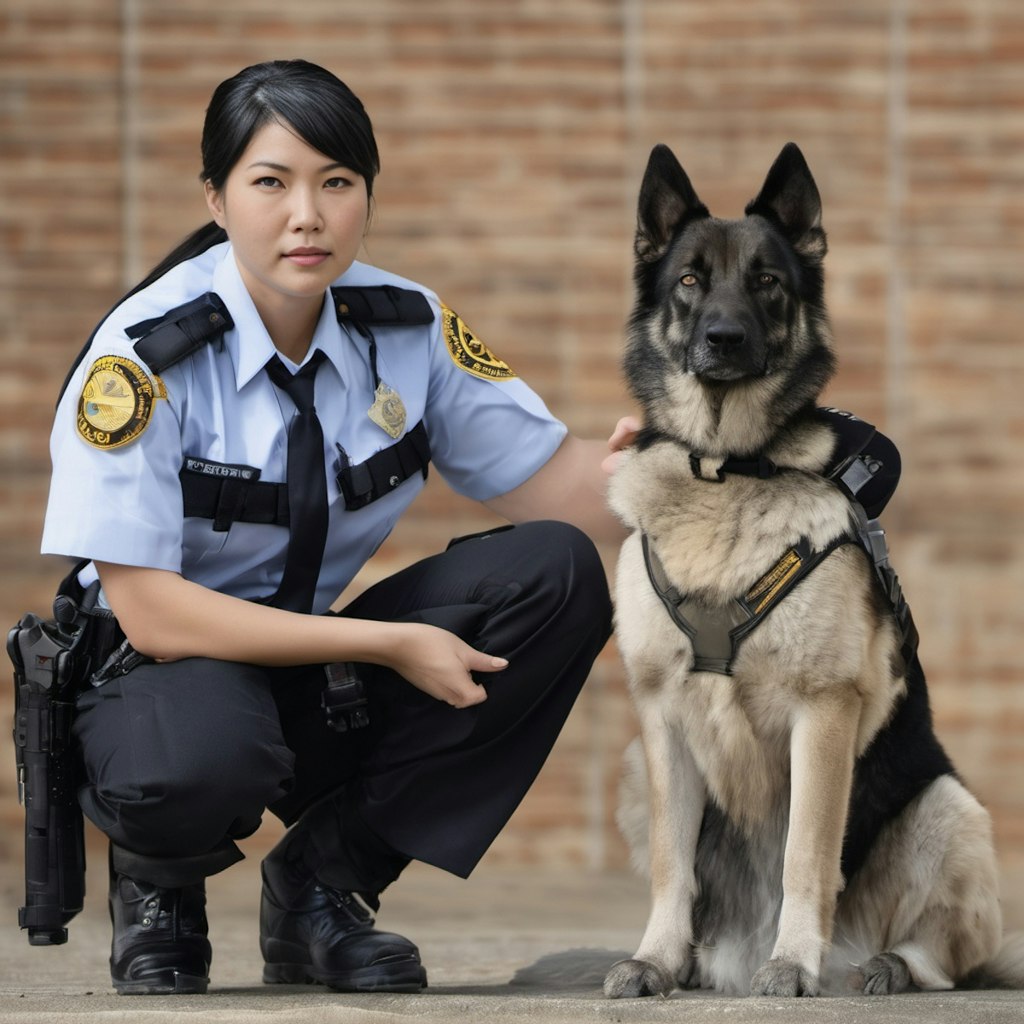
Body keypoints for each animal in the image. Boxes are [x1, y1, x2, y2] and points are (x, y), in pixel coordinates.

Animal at [602, 140, 1019, 995]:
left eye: (768, 280)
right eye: (689, 280)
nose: (725, 338)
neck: (726, 469)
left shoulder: (822, 715)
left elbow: (805, 854)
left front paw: (793, 960)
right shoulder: (659, 719)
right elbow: (670, 864)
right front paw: (655, 959)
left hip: (950, 808)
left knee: (945, 956)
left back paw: (883, 966)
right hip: (631, 769)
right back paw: (697, 962)